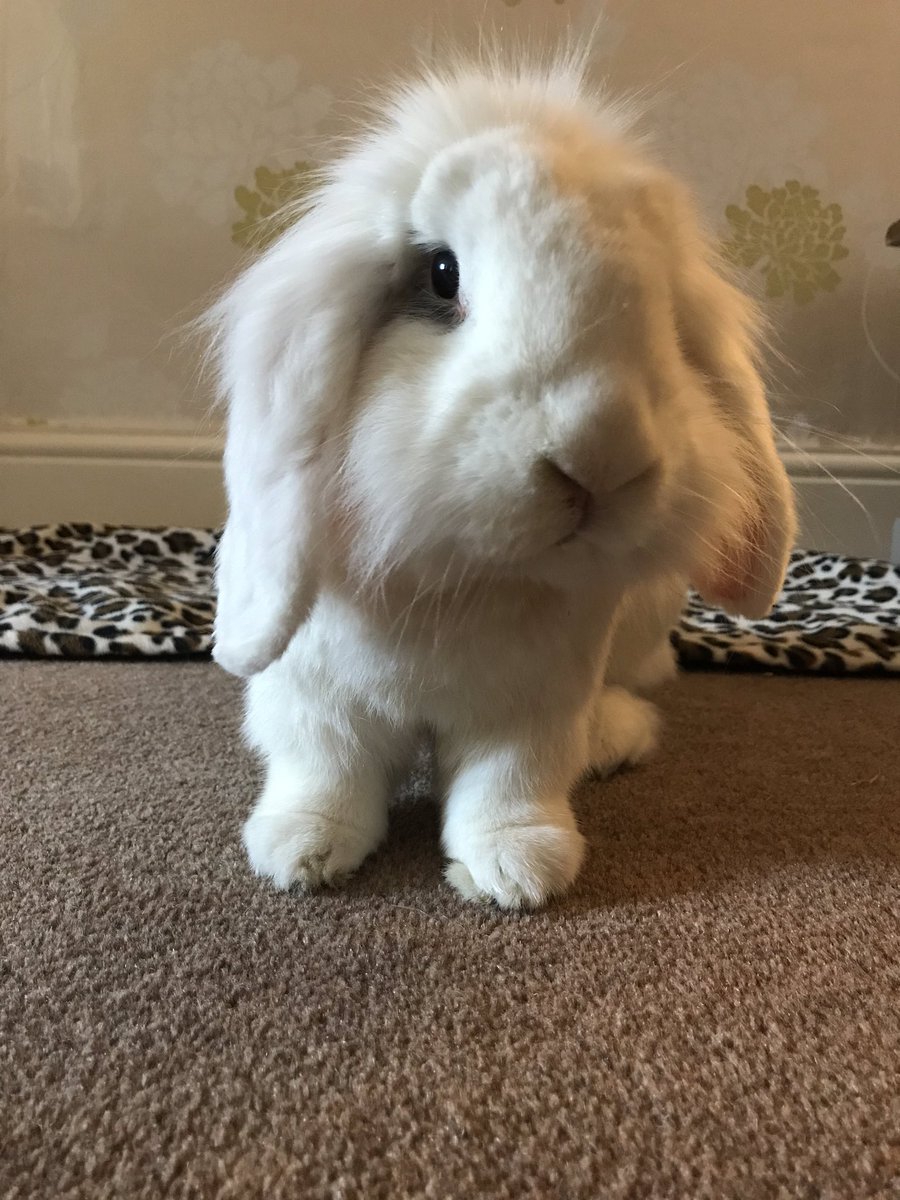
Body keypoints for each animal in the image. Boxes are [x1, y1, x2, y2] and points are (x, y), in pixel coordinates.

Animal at [204, 56, 796, 910]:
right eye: (440, 274)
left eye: (661, 307)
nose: (601, 457)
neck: (467, 578)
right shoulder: (316, 696)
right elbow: (325, 769)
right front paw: (301, 853)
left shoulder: (532, 709)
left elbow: (510, 784)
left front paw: (516, 872)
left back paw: (612, 739)